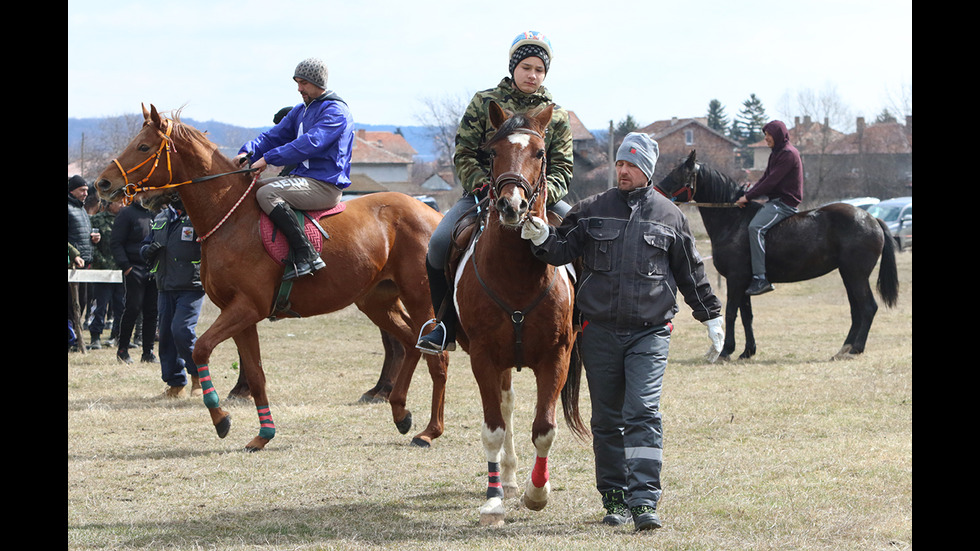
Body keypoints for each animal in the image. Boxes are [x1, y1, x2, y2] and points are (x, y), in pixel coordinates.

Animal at [95, 104, 448, 452]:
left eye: (143, 147)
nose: (103, 183)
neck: (231, 217)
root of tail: (434, 214)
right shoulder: (240, 315)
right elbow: (255, 374)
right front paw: (263, 434)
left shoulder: (246, 308)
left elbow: (201, 349)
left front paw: (221, 419)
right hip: (378, 302)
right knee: (411, 345)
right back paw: (400, 412)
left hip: (420, 301)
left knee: (437, 357)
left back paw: (430, 431)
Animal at [452, 102, 588, 528]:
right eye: (492, 152)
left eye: (540, 153)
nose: (512, 206)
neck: (515, 274)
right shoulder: (482, 356)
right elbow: (494, 428)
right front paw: (494, 500)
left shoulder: (557, 357)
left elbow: (544, 428)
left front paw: (537, 492)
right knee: (506, 405)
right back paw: (507, 479)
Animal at [656, 150, 900, 362]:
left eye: (678, 174)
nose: (657, 192)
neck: (733, 220)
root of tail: (871, 218)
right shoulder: (744, 282)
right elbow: (747, 316)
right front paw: (747, 351)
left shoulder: (735, 279)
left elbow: (731, 313)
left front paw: (725, 351)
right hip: (848, 275)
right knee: (856, 310)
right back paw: (844, 348)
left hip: (855, 275)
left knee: (867, 308)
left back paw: (856, 348)